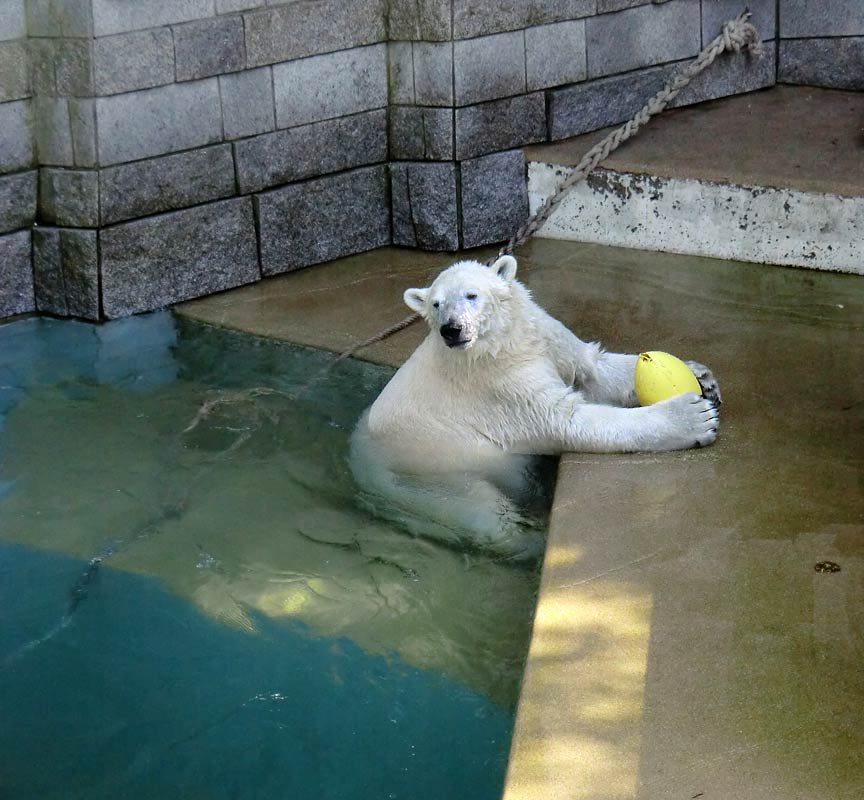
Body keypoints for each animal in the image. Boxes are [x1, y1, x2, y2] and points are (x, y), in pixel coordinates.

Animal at [348, 256, 720, 556]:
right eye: (436, 304)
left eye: (471, 295)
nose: (451, 330)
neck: (498, 346)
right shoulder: (499, 384)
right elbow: (565, 419)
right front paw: (693, 417)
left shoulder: (543, 339)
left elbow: (592, 368)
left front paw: (703, 377)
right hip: (426, 475)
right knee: (485, 514)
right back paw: (533, 539)